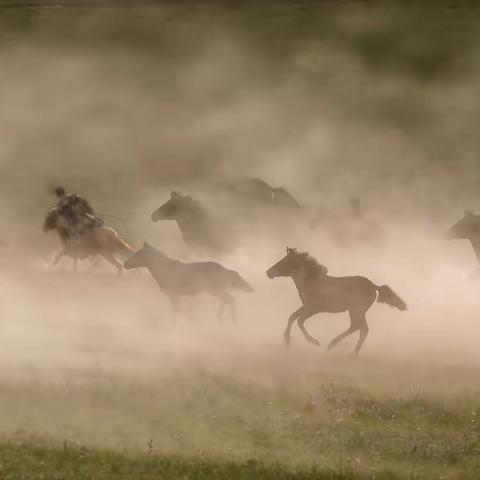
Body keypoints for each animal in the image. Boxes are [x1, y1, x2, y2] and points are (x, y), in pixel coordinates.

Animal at [266, 249, 404, 354]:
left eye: (284, 261)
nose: (268, 272)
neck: (311, 282)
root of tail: (374, 286)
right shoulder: (306, 306)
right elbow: (292, 317)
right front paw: (287, 342)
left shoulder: (314, 308)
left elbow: (299, 321)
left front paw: (315, 342)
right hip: (355, 310)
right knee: (359, 327)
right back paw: (341, 348)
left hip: (357, 310)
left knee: (360, 327)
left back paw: (344, 350)